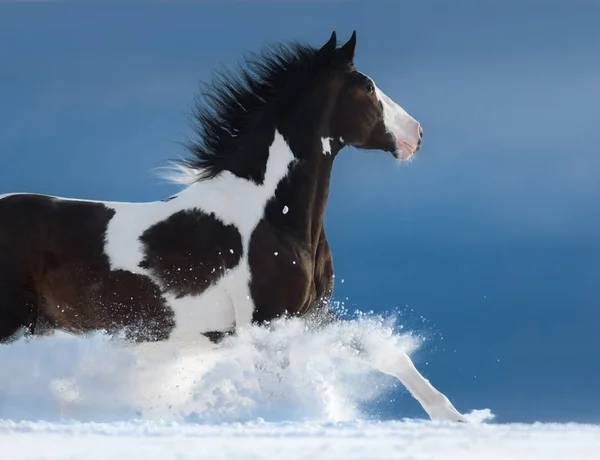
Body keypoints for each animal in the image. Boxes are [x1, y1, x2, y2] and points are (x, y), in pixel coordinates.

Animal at [0, 30, 464, 422]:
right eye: (367, 87)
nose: (417, 135)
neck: (276, 220)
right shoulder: (268, 324)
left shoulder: (310, 317)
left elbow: (388, 354)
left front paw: (454, 420)